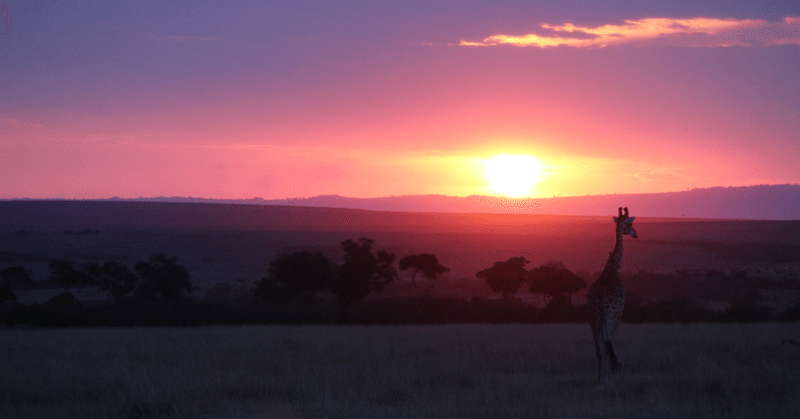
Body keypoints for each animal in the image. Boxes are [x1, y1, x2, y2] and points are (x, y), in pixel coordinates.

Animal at [584, 207, 636, 390]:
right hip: (610, 317)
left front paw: (602, 380)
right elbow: (611, 344)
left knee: (599, 349)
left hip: (593, 318)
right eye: (630, 225)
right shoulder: (618, 315)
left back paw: (599, 382)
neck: (612, 268)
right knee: (608, 345)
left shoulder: (597, 318)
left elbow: (602, 347)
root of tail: (601, 303)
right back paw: (606, 381)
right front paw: (609, 381)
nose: (636, 234)